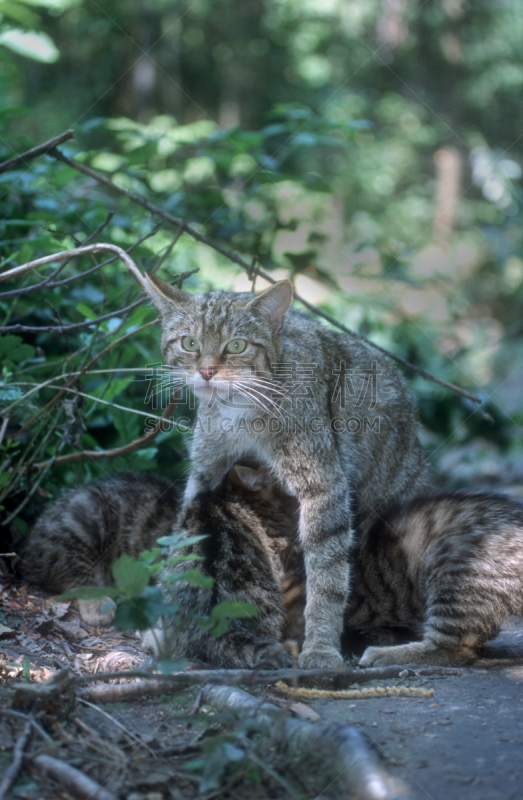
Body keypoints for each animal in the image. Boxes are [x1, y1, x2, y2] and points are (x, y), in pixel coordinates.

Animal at [145, 276, 432, 668]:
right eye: (190, 343)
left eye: (236, 346)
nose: (206, 371)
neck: (240, 410)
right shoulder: (205, 473)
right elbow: (182, 539)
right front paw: (169, 626)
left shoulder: (323, 486)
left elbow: (327, 575)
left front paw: (321, 645)